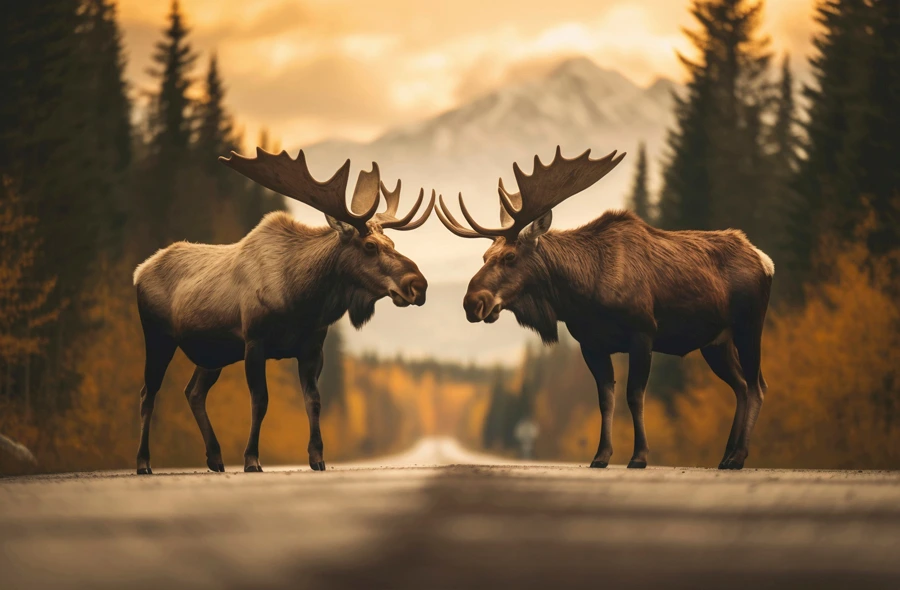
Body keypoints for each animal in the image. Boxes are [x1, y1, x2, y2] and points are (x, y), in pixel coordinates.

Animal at [132, 148, 434, 474]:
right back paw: (144, 462)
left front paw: (317, 457)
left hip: (214, 353)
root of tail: (138, 272)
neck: (302, 300)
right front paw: (252, 458)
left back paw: (215, 457)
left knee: (193, 392)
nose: (418, 285)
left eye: (391, 242)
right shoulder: (255, 341)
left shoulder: (312, 348)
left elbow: (314, 400)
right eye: (369, 246)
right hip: (158, 336)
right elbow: (260, 400)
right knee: (148, 392)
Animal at [437, 146, 774, 470]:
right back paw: (726, 456)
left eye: (509, 257)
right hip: (715, 342)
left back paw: (738, 457)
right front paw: (601, 456)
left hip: (749, 325)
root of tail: (764, 259)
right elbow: (605, 400)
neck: (583, 295)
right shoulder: (592, 344)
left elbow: (634, 395)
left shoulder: (643, 332)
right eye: (484, 257)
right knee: (741, 386)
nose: (472, 302)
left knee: (756, 385)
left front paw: (639, 456)